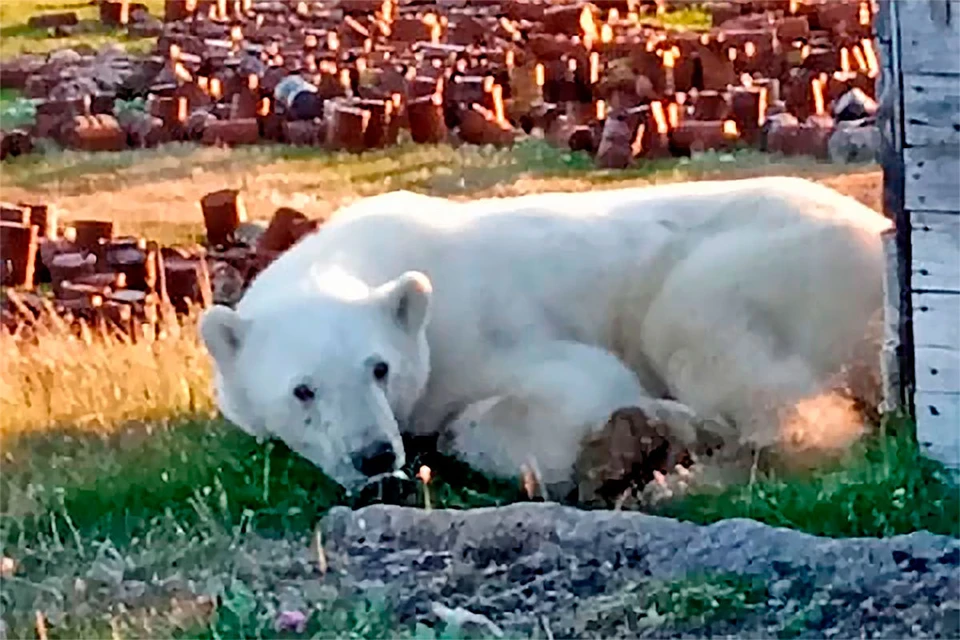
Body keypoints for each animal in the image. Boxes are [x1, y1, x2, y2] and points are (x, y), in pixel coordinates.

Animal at [201, 176, 892, 496]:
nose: (373, 455)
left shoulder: (478, 327)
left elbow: (578, 385)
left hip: (770, 263)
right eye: (303, 390)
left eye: (380, 368)